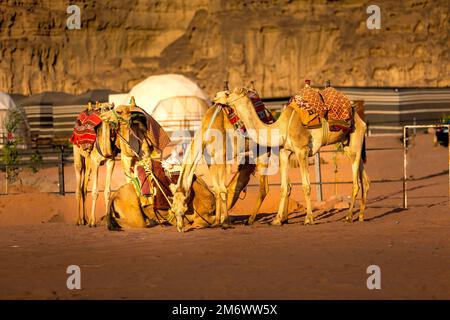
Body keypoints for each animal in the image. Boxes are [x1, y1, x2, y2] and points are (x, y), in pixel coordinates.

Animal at [214, 87, 370, 225]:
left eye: (227, 93)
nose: (215, 97)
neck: (282, 127)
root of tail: (359, 117)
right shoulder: (284, 152)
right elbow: (284, 187)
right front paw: (277, 220)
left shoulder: (302, 151)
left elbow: (306, 186)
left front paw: (309, 219)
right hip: (348, 144)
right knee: (365, 180)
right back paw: (361, 216)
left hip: (355, 140)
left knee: (356, 183)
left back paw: (349, 217)